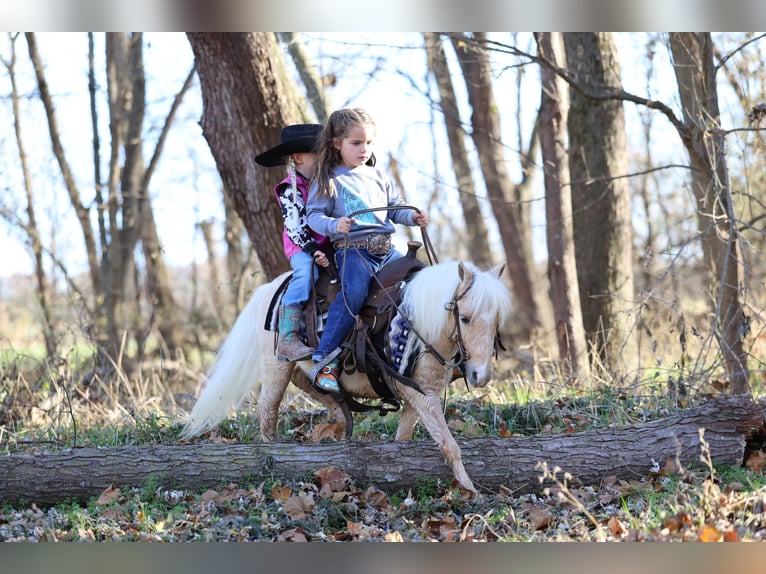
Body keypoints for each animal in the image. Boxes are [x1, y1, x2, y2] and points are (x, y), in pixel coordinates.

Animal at [181, 259, 512, 494]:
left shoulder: (417, 398)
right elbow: (449, 444)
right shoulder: (421, 395)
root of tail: (271, 288)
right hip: (276, 366)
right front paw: (471, 491)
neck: (418, 324)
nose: (480, 375)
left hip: (301, 369)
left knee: (317, 389)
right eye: (464, 318)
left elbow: (405, 438)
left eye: (497, 319)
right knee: (267, 411)